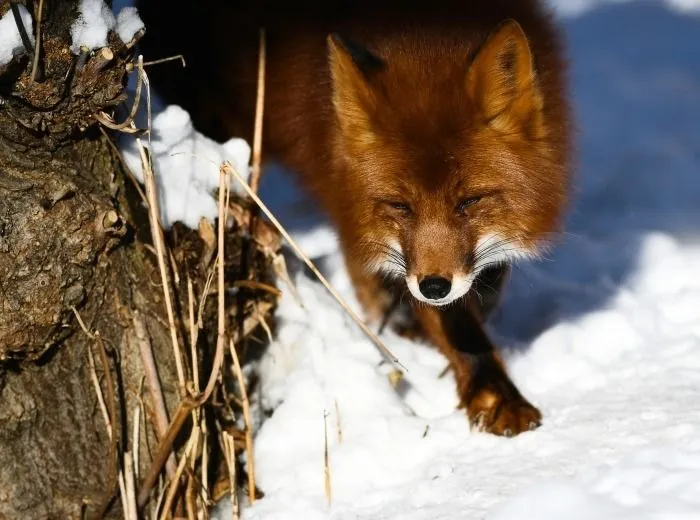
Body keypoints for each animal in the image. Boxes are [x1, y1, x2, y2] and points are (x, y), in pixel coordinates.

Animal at [137, 0, 568, 436]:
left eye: (469, 202)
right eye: (400, 206)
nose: (433, 287)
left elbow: (484, 286)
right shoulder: (365, 224)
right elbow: (452, 321)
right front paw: (492, 392)